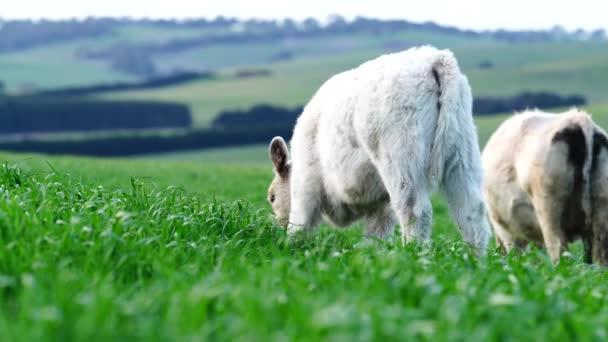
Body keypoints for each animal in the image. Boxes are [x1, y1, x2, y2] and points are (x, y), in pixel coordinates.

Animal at [266, 45, 490, 251]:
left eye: (272, 197)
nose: (279, 226)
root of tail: (434, 57)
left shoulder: (306, 180)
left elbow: (300, 222)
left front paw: (290, 245)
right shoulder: (381, 205)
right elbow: (376, 236)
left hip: (401, 158)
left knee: (415, 211)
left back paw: (413, 254)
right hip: (461, 154)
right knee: (472, 210)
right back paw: (476, 259)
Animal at [484, 109, 608, 264]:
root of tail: (579, 121)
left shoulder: (507, 230)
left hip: (549, 211)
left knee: (558, 251)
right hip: (601, 215)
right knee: (600, 259)